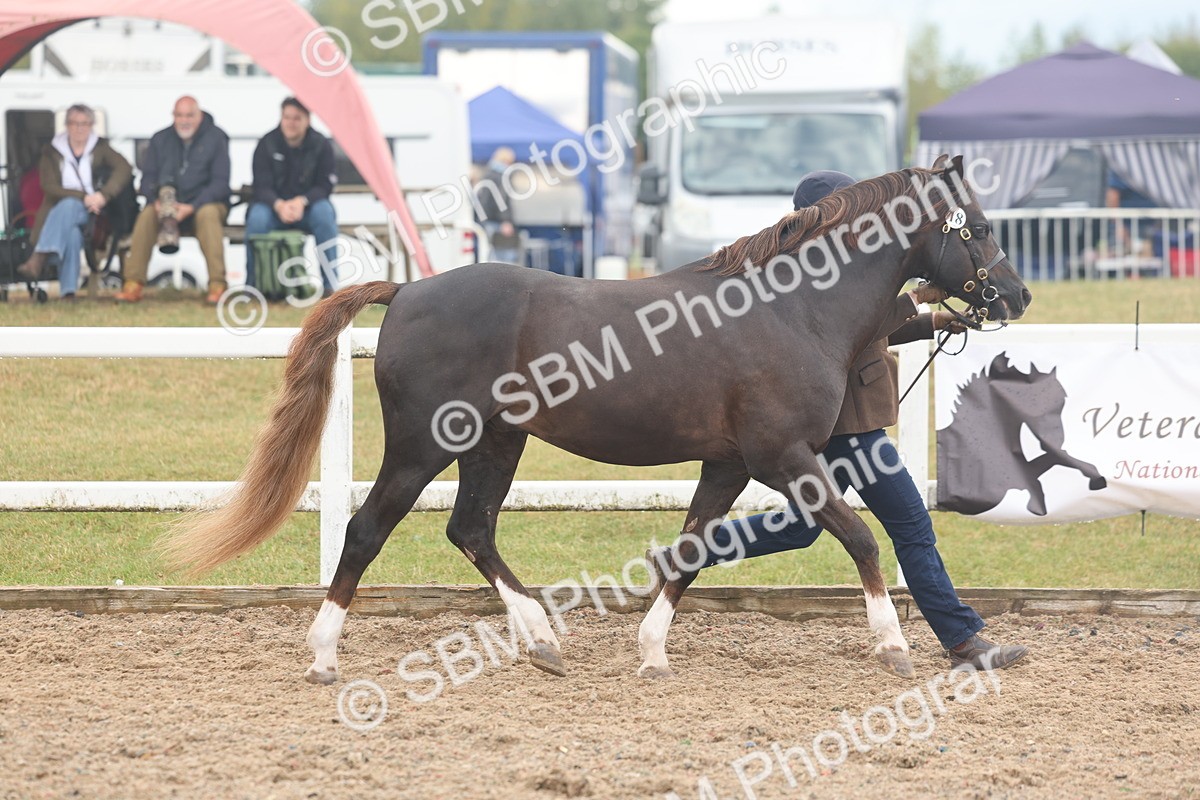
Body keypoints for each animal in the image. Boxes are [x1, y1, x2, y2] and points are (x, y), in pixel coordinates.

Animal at [163, 155, 1031, 684]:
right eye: (981, 227)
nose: (1016, 297)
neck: (791, 310)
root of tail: (406, 289)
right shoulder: (784, 456)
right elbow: (862, 537)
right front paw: (893, 647)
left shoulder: (729, 463)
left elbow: (693, 548)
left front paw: (650, 652)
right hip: (421, 445)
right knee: (367, 530)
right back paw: (323, 656)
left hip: (496, 442)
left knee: (470, 530)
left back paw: (544, 641)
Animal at [938, 351, 1106, 517]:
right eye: (1032, 401)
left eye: (1062, 399)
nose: (1057, 440)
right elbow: (1041, 477)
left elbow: (1055, 460)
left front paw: (1097, 479)